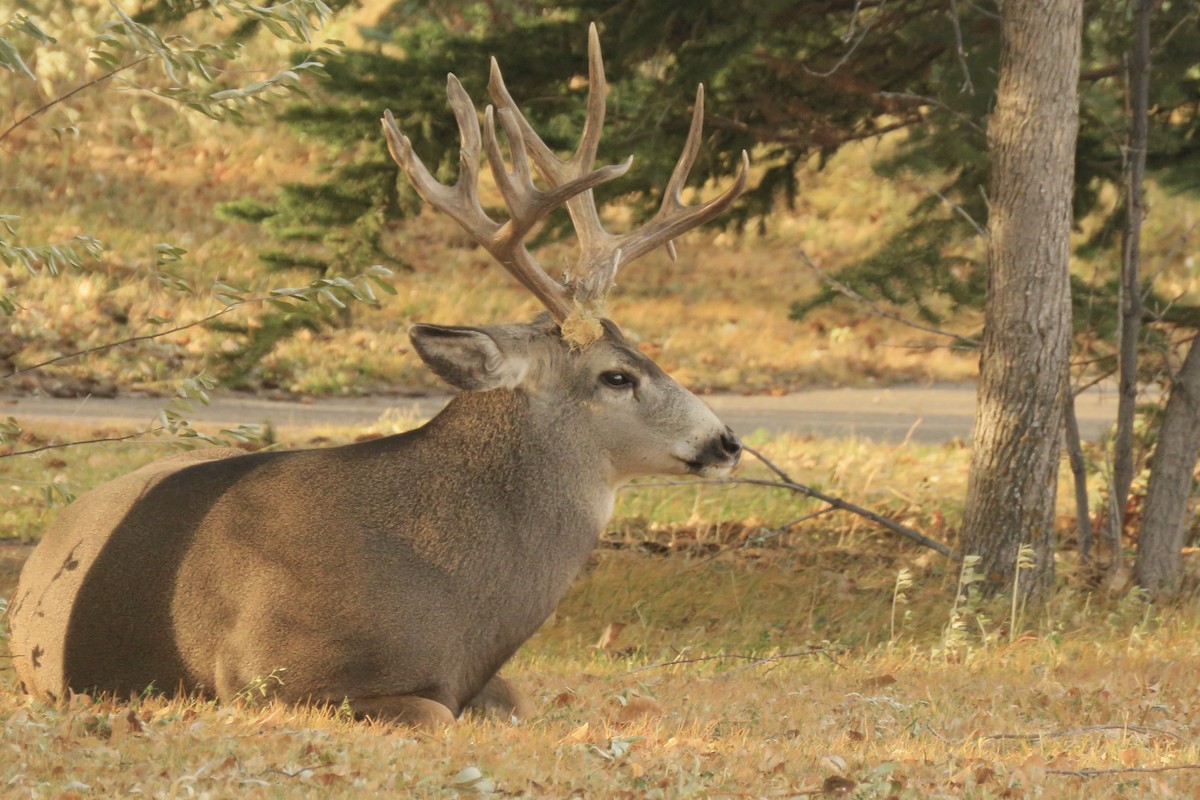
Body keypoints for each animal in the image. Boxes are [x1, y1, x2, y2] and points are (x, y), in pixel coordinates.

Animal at [7, 24, 748, 728]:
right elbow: (433, 713)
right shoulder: (261, 672)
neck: (459, 599)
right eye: (617, 377)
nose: (727, 441)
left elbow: (516, 701)